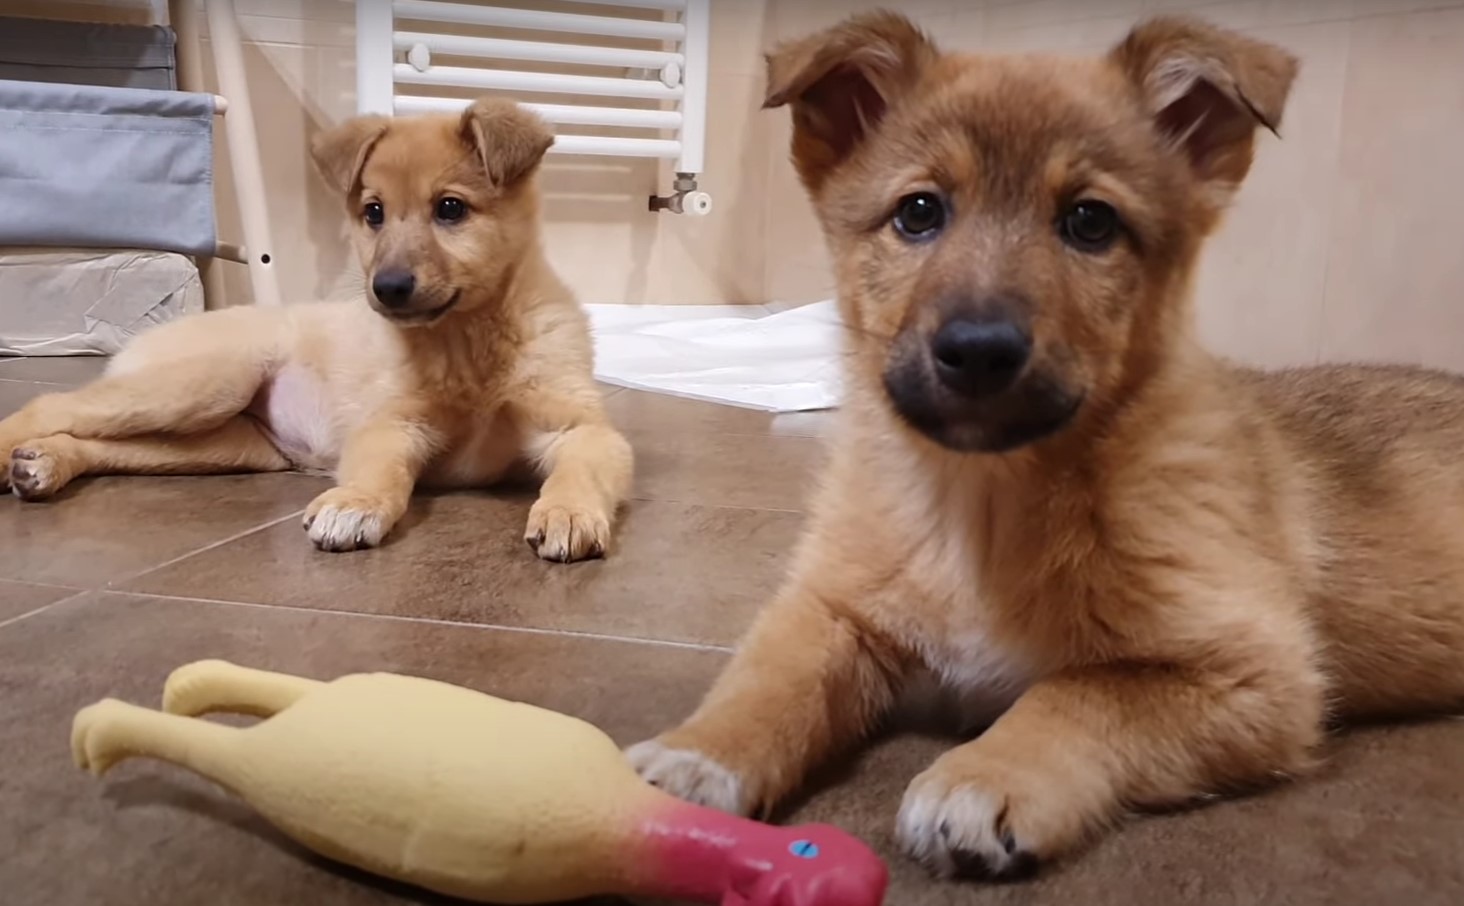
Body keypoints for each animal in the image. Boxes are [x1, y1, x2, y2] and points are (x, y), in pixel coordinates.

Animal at [0, 93, 629, 559]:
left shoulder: (582, 429)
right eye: (373, 213)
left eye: (450, 208)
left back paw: (45, 463)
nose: (388, 288)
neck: (467, 341)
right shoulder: (393, 424)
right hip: (203, 385)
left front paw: (569, 511)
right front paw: (354, 502)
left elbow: (579, 470)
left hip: (223, 443)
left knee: (107, 443)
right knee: (49, 406)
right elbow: (383, 471)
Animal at [632, 10, 1464, 884]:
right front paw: (695, 757)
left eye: (1091, 222)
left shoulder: (1261, 675)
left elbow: (1080, 692)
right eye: (918, 212)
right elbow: (768, 679)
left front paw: (984, 779)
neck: (981, 500)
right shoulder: (832, 607)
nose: (978, 351)